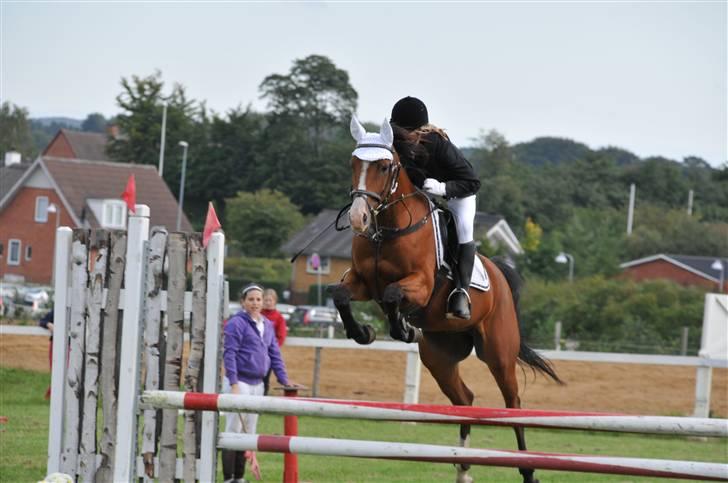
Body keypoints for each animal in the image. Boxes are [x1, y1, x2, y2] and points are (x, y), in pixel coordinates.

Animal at [330, 116, 564, 483]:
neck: (388, 228)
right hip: (439, 356)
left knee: (512, 403)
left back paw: (528, 471)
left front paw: (402, 328)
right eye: (353, 163)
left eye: (384, 166)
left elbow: (393, 294)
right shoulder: (363, 283)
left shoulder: (421, 286)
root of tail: (500, 275)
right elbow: (341, 294)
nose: (358, 218)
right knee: (464, 398)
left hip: (498, 352)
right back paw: (464, 468)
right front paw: (363, 332)